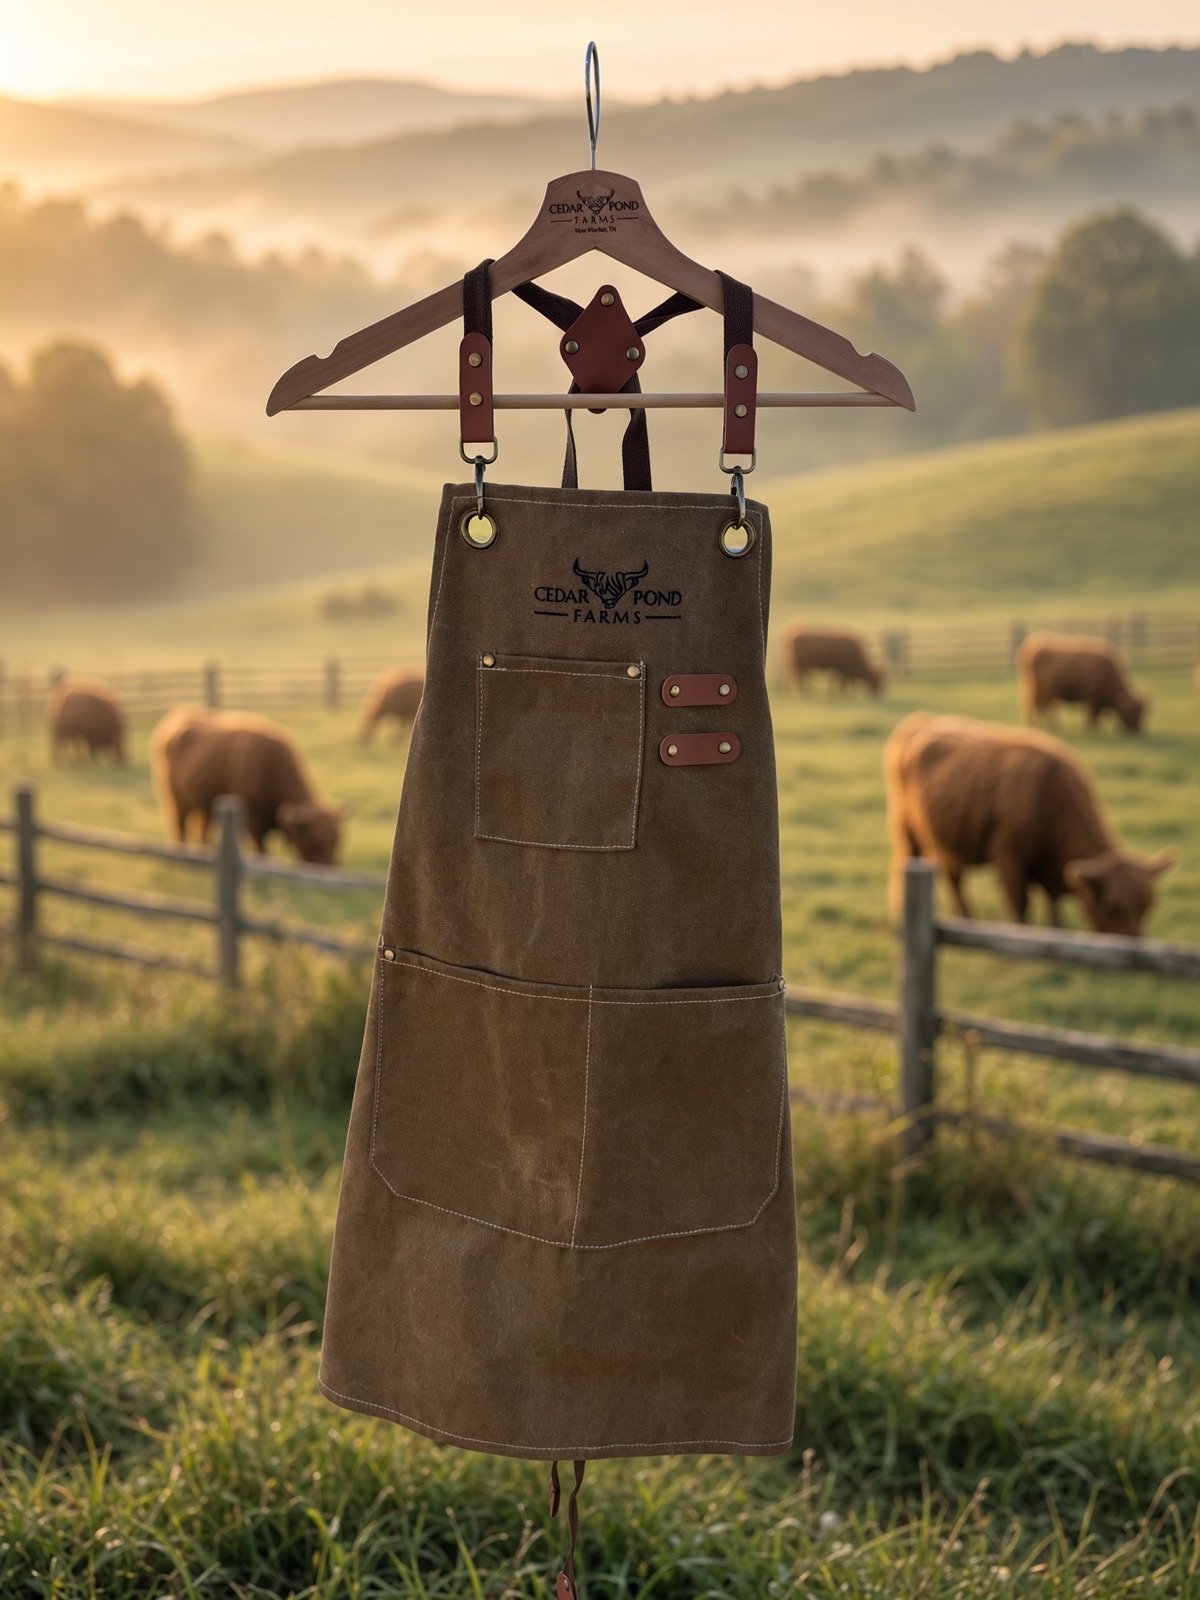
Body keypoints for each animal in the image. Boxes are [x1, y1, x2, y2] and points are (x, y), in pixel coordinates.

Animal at [150, 706, 345, 864]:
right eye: (315, 843)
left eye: (337, 841)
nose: (330, 870)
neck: (272, 768)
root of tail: (175, 716)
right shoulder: (254, 823)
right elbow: (260, 849)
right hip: (175, 800)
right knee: (178, 826)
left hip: (202, 804)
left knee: (202, 829)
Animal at [883, 712, 1174, 935]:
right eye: (1113, 906)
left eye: (1147, 905)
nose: (1134, 943)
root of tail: (919, 720)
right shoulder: (1009, 857)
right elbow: (1019, 902)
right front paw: (1020, 933)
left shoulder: (1050, 869)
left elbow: (1053, 902)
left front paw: (1057, 932)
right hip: (908, 833)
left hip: (950, 842)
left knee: (954, 878)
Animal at [1016, 632, 1147, 733]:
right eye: (1131, 713)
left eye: (1142, 714)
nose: (1137, 731)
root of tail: (1030, 646)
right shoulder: (1092, 699)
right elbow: (1092, 715)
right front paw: (1090, 729)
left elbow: (1096, 716)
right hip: (1037, 691)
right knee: (1034, 706)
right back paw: (1038, 725)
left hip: (1045, 693)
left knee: (1042, 707)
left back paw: (1050, 725)